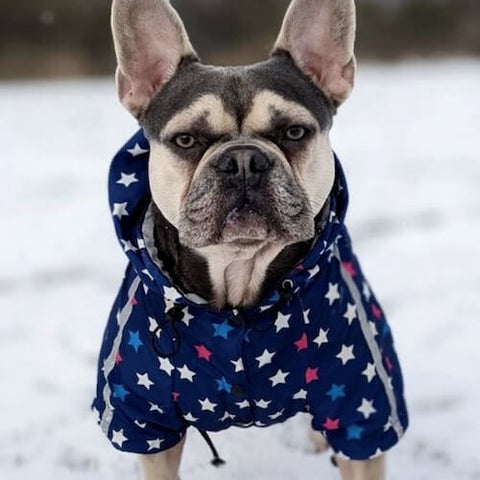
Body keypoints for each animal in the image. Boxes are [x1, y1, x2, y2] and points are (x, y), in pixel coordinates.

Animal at [94, 0, 408, 480]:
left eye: (294, 132)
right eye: (186, 140)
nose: (243, 160)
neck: (239, 275)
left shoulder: (363, 407)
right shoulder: (144, 422)